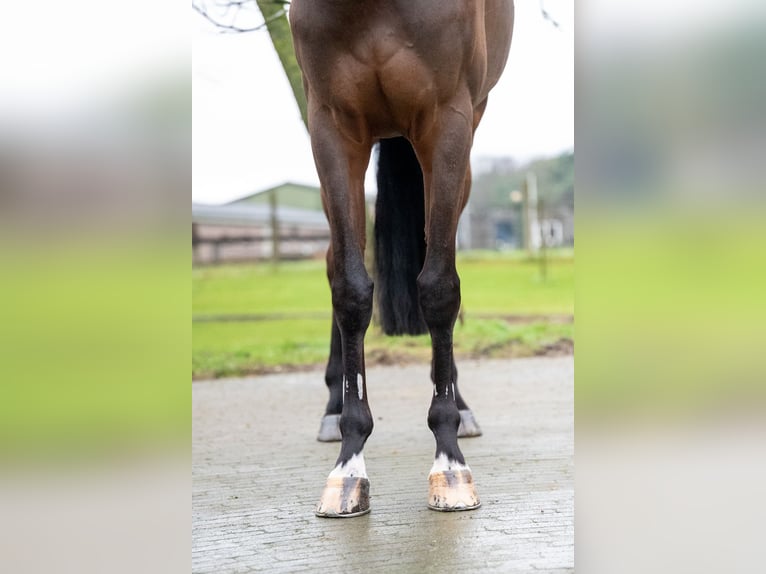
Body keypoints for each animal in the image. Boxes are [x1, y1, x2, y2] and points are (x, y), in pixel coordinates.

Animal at [292, 0, 512, 520]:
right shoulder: (331, 126)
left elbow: (439, 288)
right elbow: (351, 289)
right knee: (334, 264)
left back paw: (460, 406)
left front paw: (450, 464)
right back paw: (332, 409)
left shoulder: (447, 120)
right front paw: (348, 468)